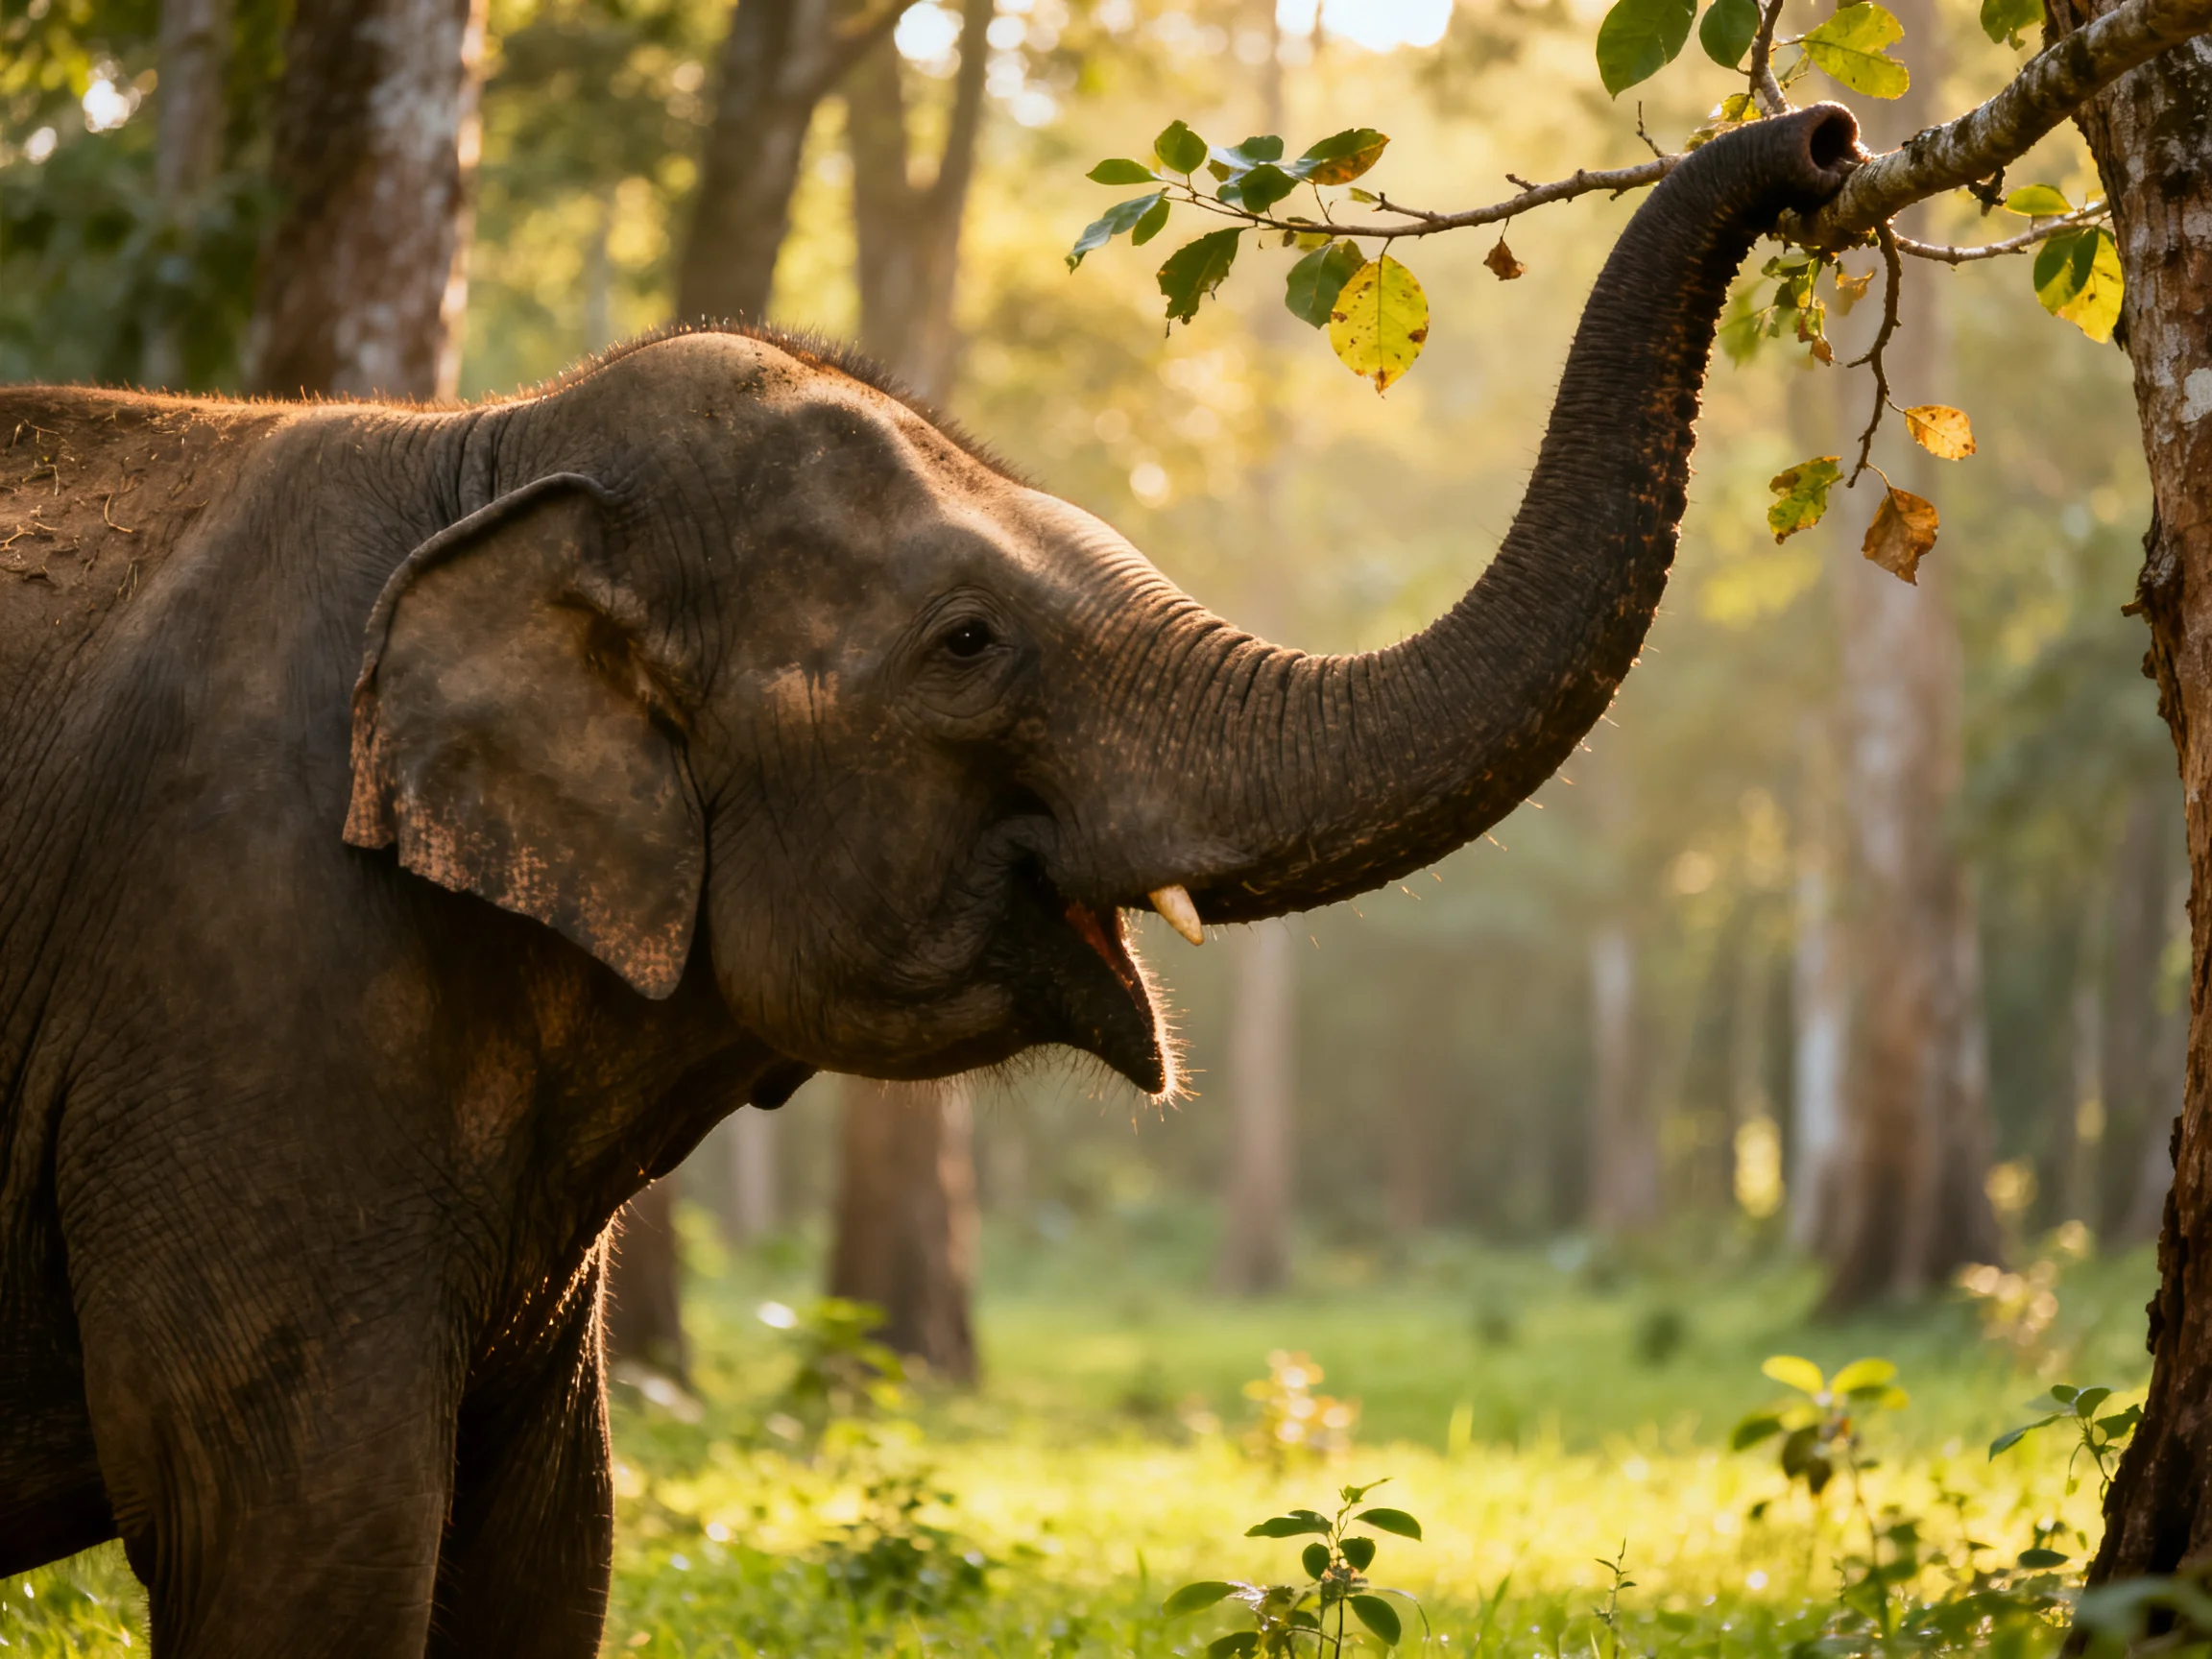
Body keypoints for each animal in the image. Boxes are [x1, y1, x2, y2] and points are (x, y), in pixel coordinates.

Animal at [0, 104, 1858, 1656]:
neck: (485, 447)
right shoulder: (238, 972)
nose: (1826, 142)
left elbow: (537, 1556)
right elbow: (299, 1552)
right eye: (968, 643)